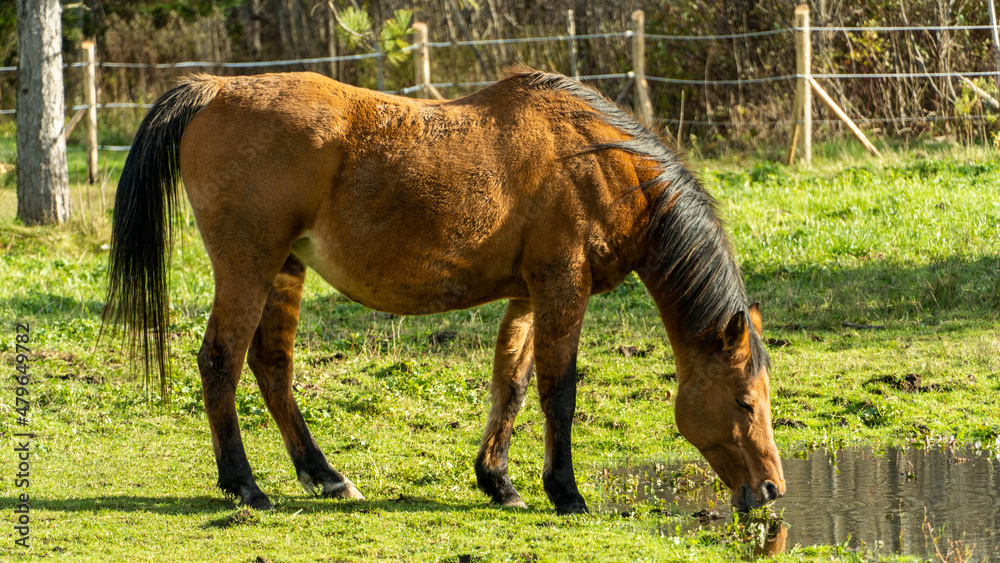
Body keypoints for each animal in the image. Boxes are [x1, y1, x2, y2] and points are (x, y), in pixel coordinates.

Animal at [102, 68, 785, 515]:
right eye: (745, 402)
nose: (773, 489)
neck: (598, 160)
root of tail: (217, 88)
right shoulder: (563, 288)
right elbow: (558, 394)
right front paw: (565, 493)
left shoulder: (529, 295)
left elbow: (510, 387)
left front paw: (498, 482)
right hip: (248, 266)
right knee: (221, 361)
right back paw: (244, 485)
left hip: (283, 271)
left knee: (273, 367)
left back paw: (325, 477)